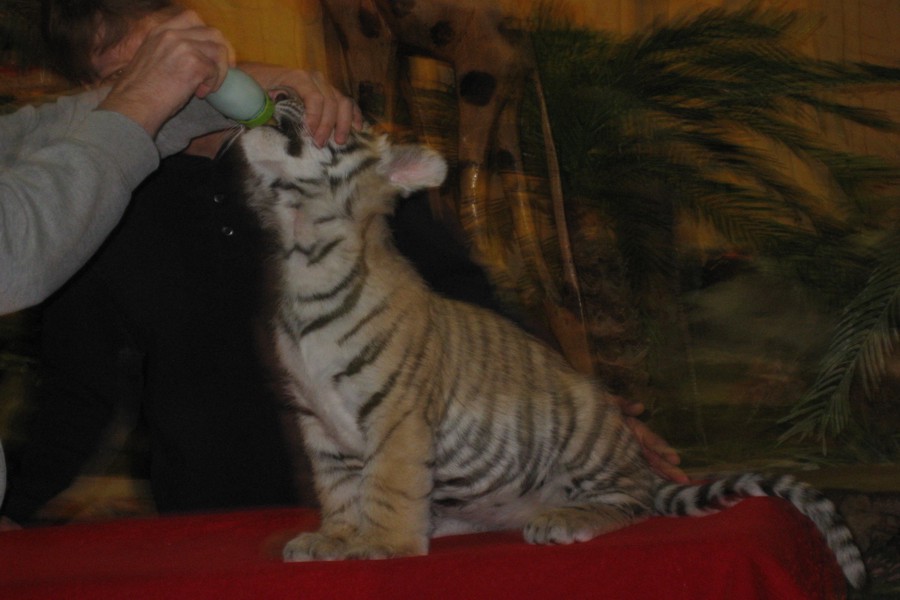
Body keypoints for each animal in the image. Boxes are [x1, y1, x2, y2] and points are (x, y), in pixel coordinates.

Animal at [229, 96, 866, 589]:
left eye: (344, 121)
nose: (281, 89)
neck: (302, 251)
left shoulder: (398, 413)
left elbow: (388, 483)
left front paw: (383, 544)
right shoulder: (318, 423)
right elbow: (339, 489)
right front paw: (334, 537)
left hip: (586, 427)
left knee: (630, 500)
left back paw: (564, 519)